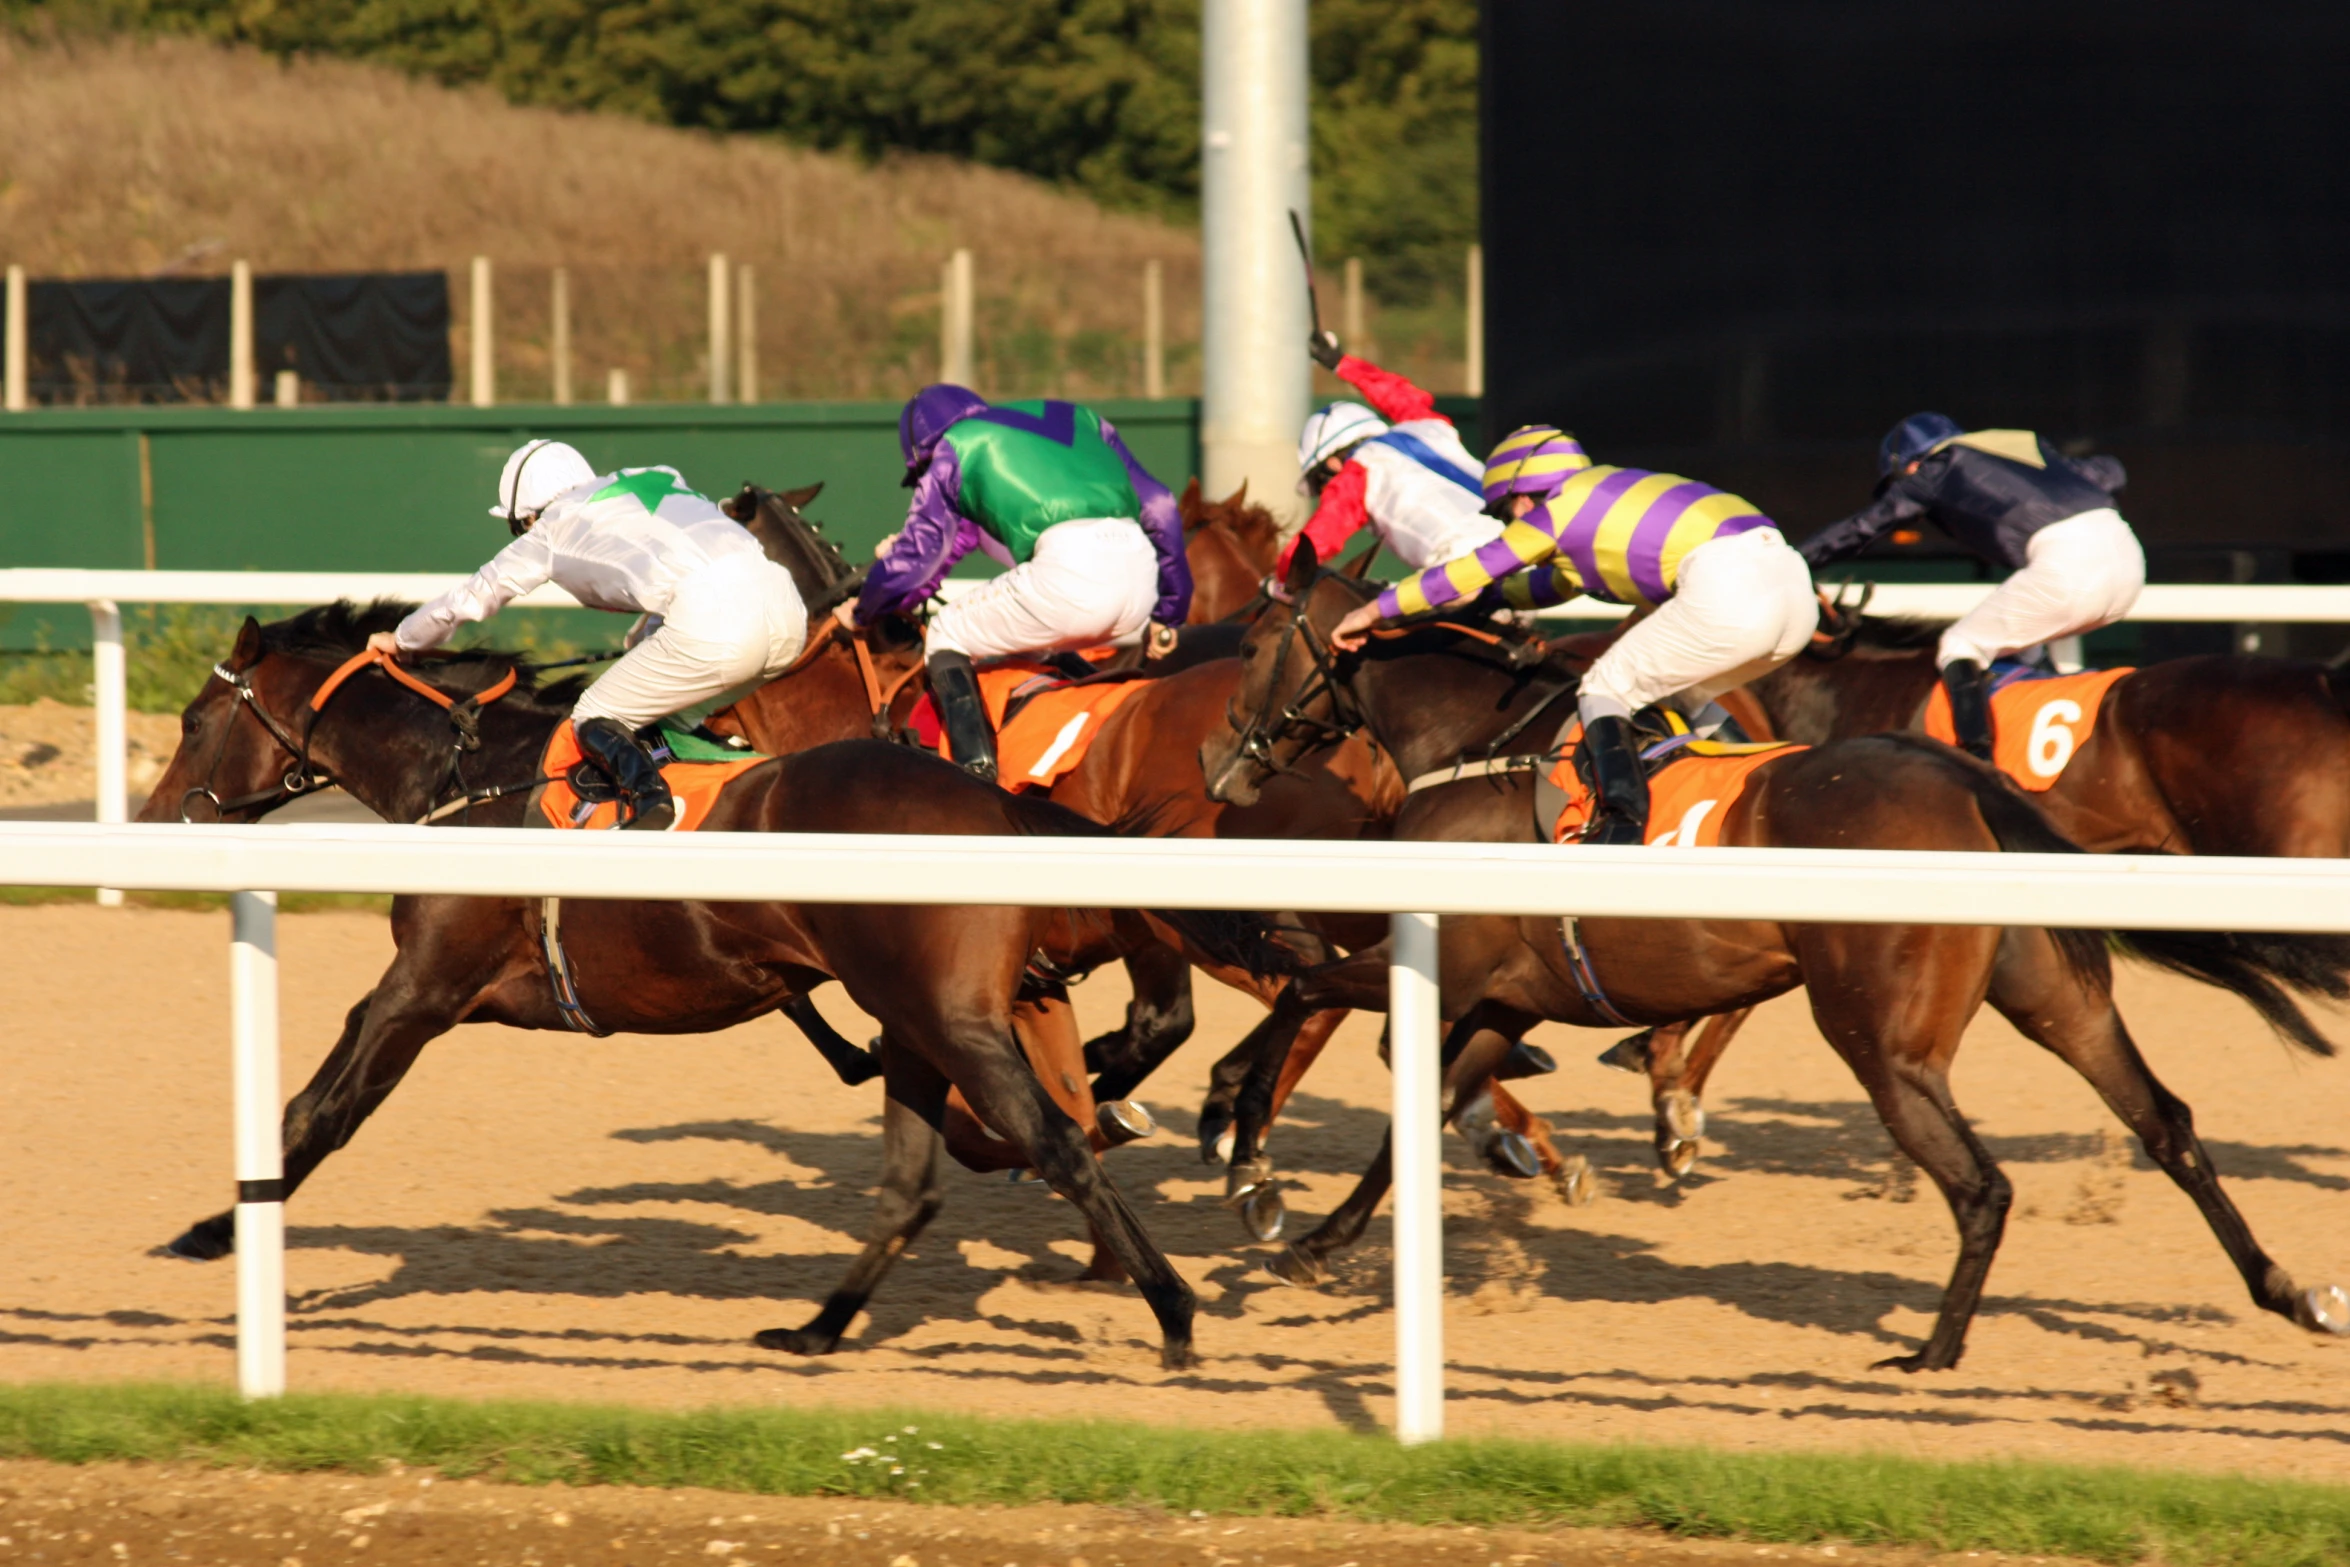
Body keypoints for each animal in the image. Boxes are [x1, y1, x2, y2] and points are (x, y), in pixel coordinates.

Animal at [137, 606, 1297, 1362]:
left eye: (193, 722)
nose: (151, 823)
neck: (474, 783)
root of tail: (990, 800)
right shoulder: (423, 989)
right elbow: (315, 1097)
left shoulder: (424, 988)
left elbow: (321, 1109)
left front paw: (212, 1231)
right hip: (915, 1019)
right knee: (914, 1184)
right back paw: (816, 1328)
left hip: (945, 1017)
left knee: (1053, 1142)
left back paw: (1173, 1309)